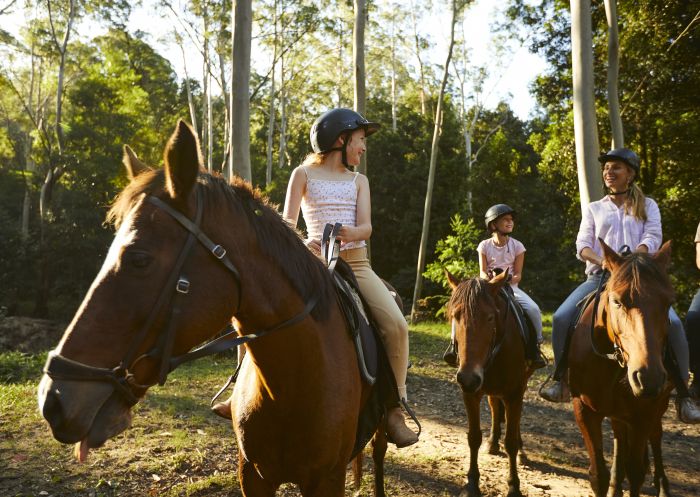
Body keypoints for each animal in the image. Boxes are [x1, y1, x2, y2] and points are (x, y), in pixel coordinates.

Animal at [446, 270, 532, 496]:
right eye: (455, 316)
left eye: (490, 317)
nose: (468, 377)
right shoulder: (470, 393)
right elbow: (474, 437)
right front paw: (472, 484)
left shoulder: (514, 393)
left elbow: (510, 441)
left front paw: (514, 486)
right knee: (494, 407)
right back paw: (493, 442)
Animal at [568, 238, 680, 494]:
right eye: (617, 301)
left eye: (669, 303)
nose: (649, 377)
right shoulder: (584, 411)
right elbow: (598, 475)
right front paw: (609, 482)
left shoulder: (643, 416)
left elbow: (636, 473)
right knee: (620, 437)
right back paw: (615, 484)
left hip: (658, 407)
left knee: (656, 436)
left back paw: (662, 485)